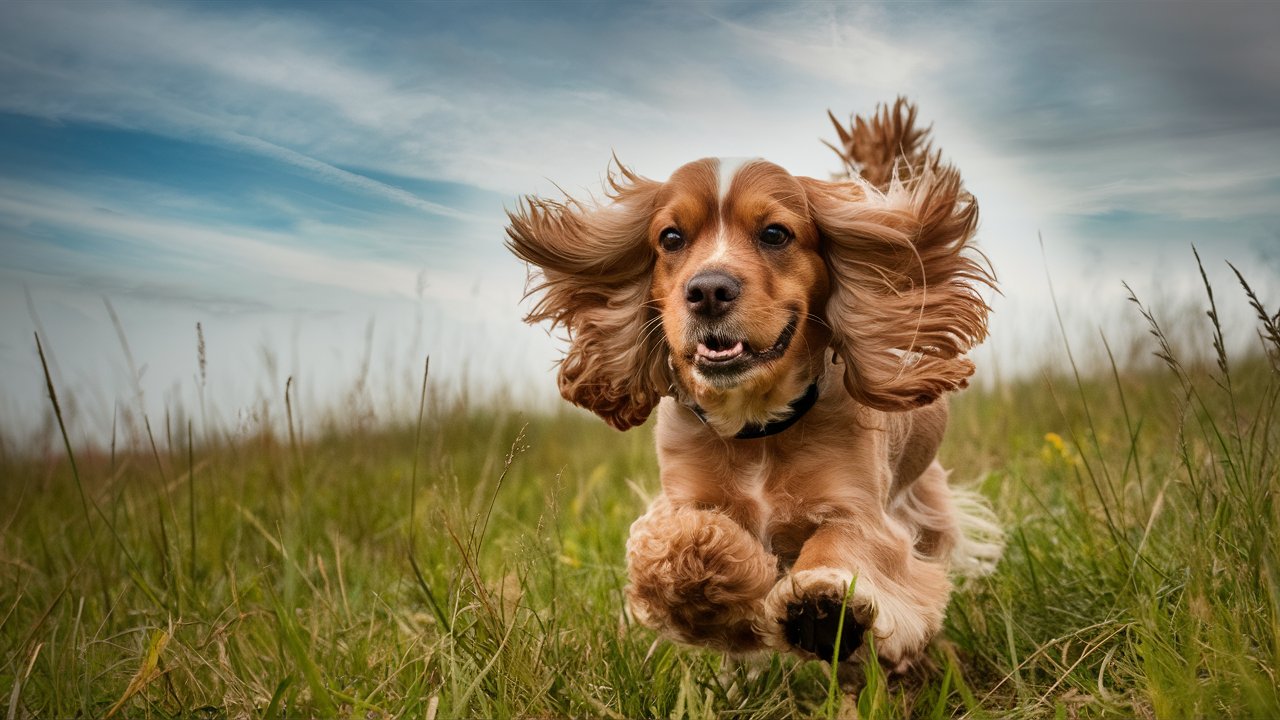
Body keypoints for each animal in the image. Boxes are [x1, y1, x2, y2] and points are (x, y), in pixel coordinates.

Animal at [506, 98, 998, 671]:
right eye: (670, 238)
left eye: (775, 234)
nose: (708, 290)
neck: (756, 425)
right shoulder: (682, 493)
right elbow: (673, 541)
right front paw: (715, 572)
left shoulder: (864, 510)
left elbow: (847, 545)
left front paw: (825, 606)